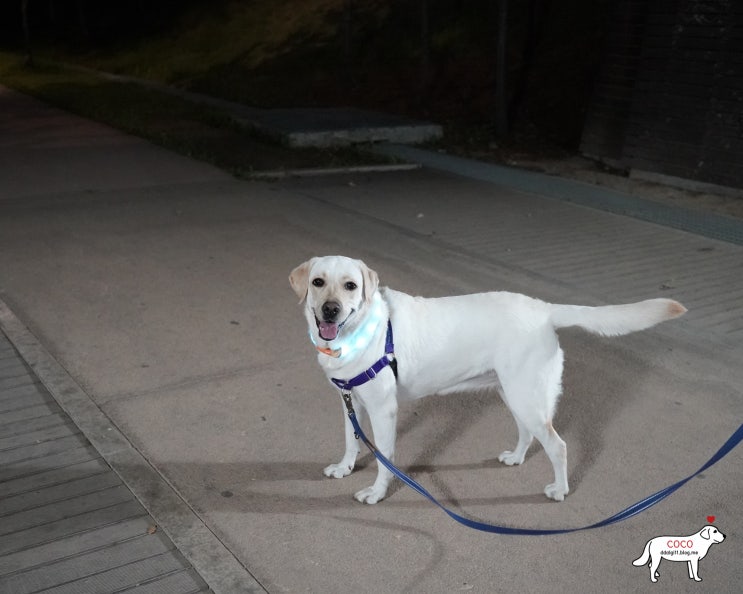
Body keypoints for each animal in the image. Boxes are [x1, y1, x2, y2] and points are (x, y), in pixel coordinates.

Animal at [290, 256, 684, 504]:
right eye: (318, 282)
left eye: (351, 286)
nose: (330, 310)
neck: (358, 333)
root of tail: (543, 308)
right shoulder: (350, 401)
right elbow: (351, 440)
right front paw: (345, 468)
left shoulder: (384, 410)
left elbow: (385, 457)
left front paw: (376, 492)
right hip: (514, 395)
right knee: (528, 434)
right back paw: (516, 458)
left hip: (527, 398)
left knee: (557, 445)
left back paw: (560, 490)